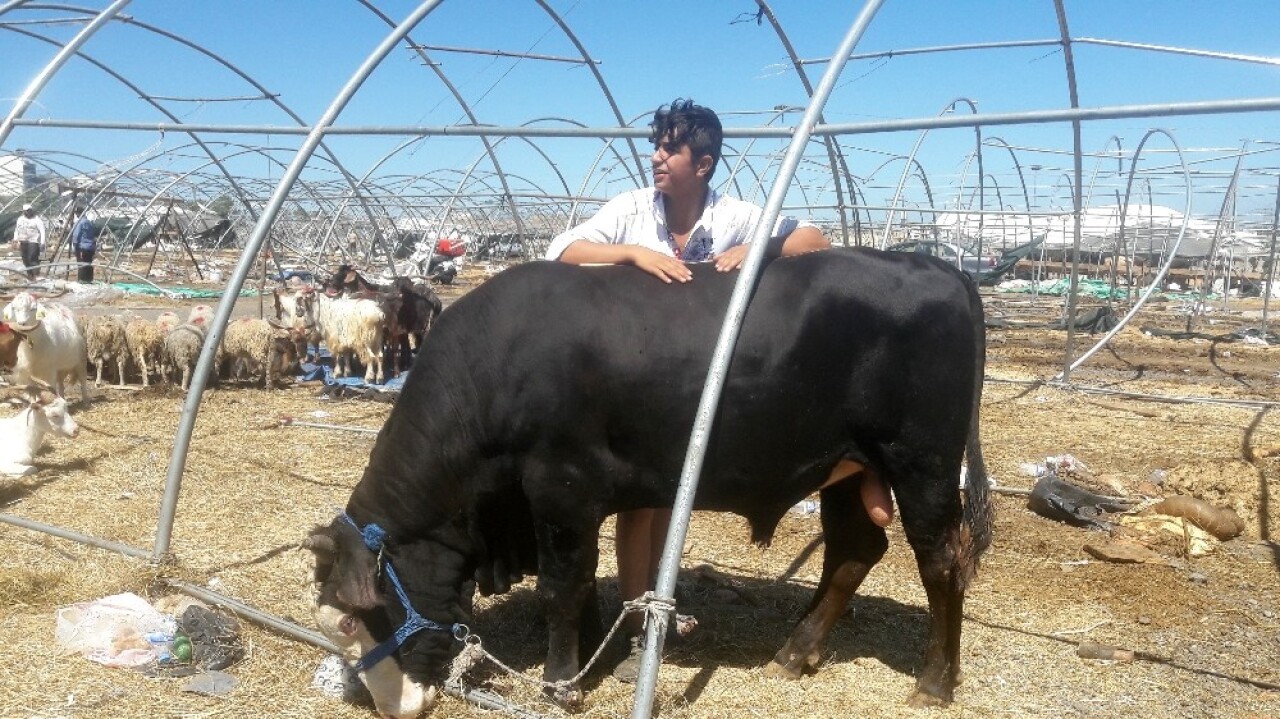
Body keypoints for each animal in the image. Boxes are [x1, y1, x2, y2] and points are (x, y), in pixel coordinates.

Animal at [304, 248, 993, 711]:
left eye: (351, 620)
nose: (387, 706)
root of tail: (939, 268)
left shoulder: (561, 487)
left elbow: (562, 586)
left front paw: (560, 683)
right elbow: (581, 586)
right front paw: (590, 651)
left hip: (920, 461)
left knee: (941, 561)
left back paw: (934, 682)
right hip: (847, 468)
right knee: (854, 550)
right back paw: (793, 655)